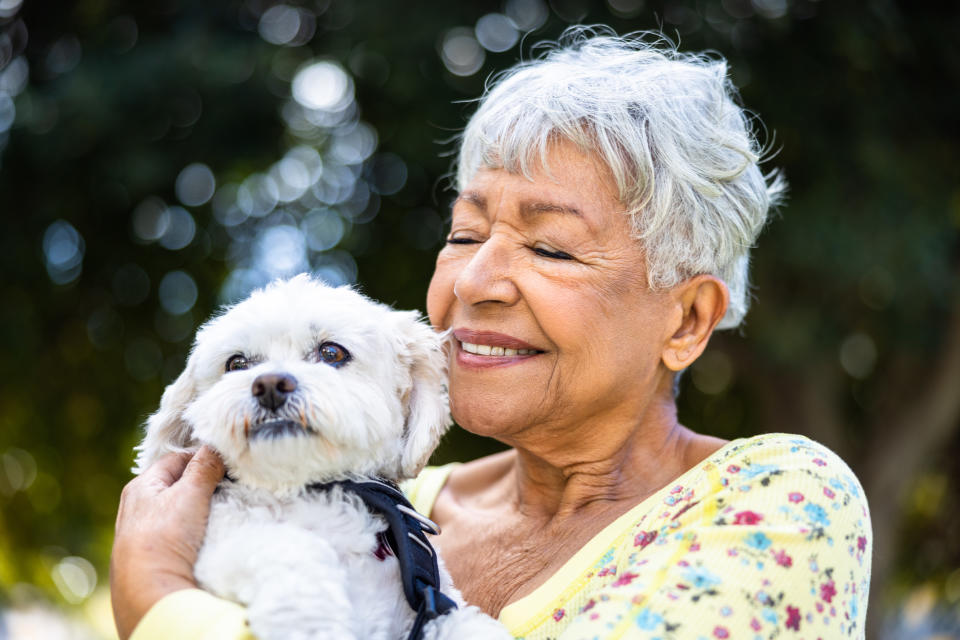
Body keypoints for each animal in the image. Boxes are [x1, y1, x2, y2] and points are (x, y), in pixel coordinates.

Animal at [136, 278, 512, 640]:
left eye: (331, 352)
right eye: (237, 364)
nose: (269, 384)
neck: (310, 489)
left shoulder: (433, 603)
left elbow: (466, 623)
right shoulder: (220, 544)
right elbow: (291, 549)